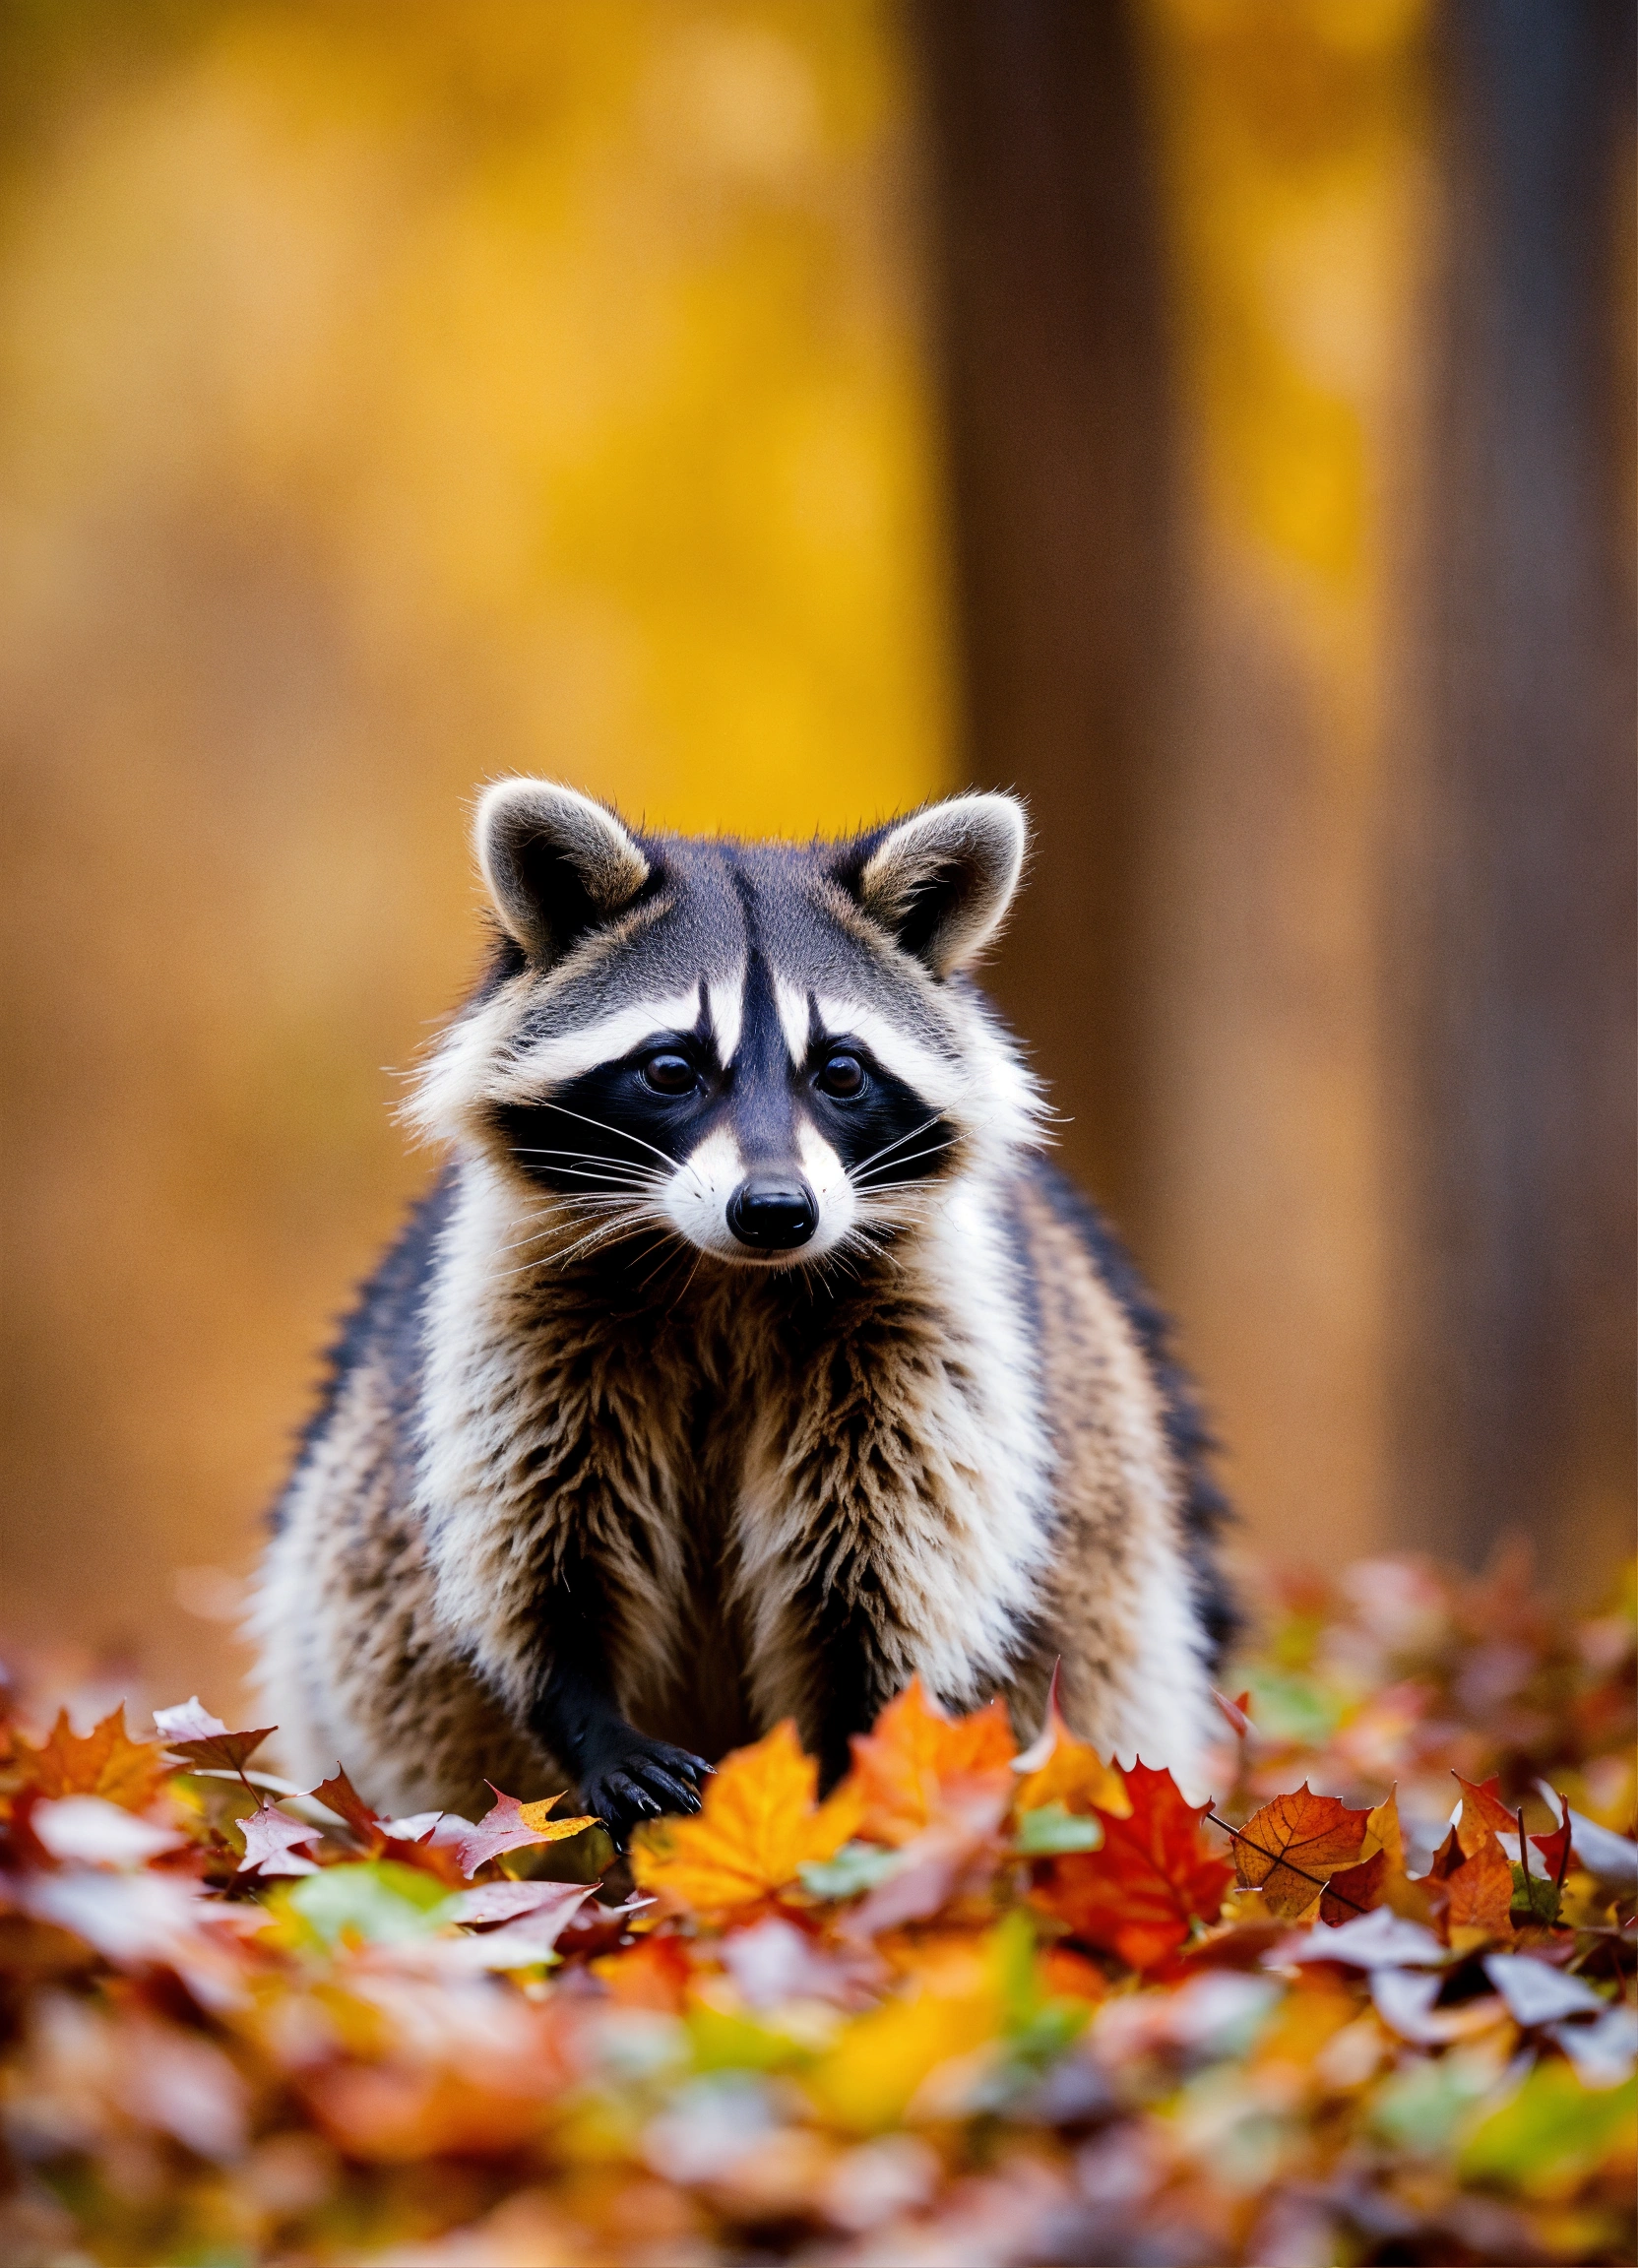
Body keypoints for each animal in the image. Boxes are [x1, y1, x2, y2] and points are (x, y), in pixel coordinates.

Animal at [253, 781, 1232, 1835]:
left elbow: (886, 1574)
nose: (775, 1210)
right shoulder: (513, 1318)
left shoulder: (929, 1343)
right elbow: (535, 1547)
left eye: (841, 1071)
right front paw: (590, 1717)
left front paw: (853, 1763)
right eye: (671, 1069)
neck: (729, 1279)